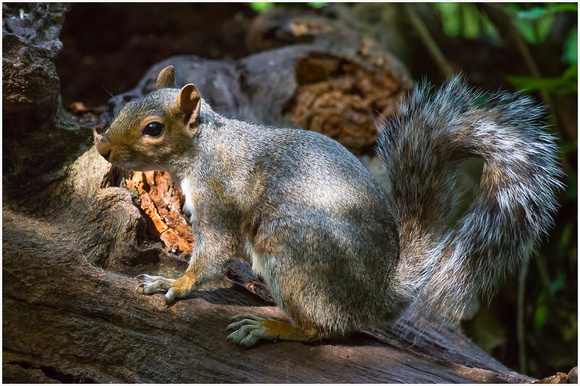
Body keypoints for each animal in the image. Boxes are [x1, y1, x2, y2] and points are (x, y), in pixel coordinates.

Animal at [94, 65, 560, 346]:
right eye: (126, 104)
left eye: (153, 128)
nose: (102, 147)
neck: (204, 148)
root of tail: (373, 297)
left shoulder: (221, 200)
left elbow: (212, 255)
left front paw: (174, 284)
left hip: (290, 249)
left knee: (322, 330)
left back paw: (270, 326)